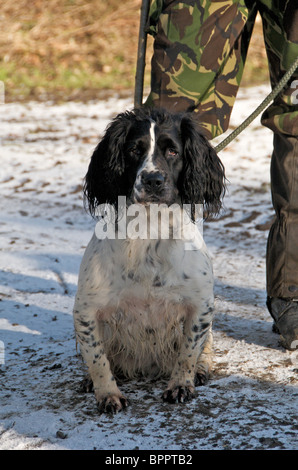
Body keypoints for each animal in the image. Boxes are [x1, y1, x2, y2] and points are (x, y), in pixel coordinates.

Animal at [73, 105, 225, 412]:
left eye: (173, 151)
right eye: (134, 150)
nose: (153, 180)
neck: (148, 232)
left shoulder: (201, 306)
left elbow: (189, 351)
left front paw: (180, 385)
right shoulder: (85, 311)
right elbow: (97, 359)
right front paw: (107, 393)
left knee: (206, 348)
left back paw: (201, 371)